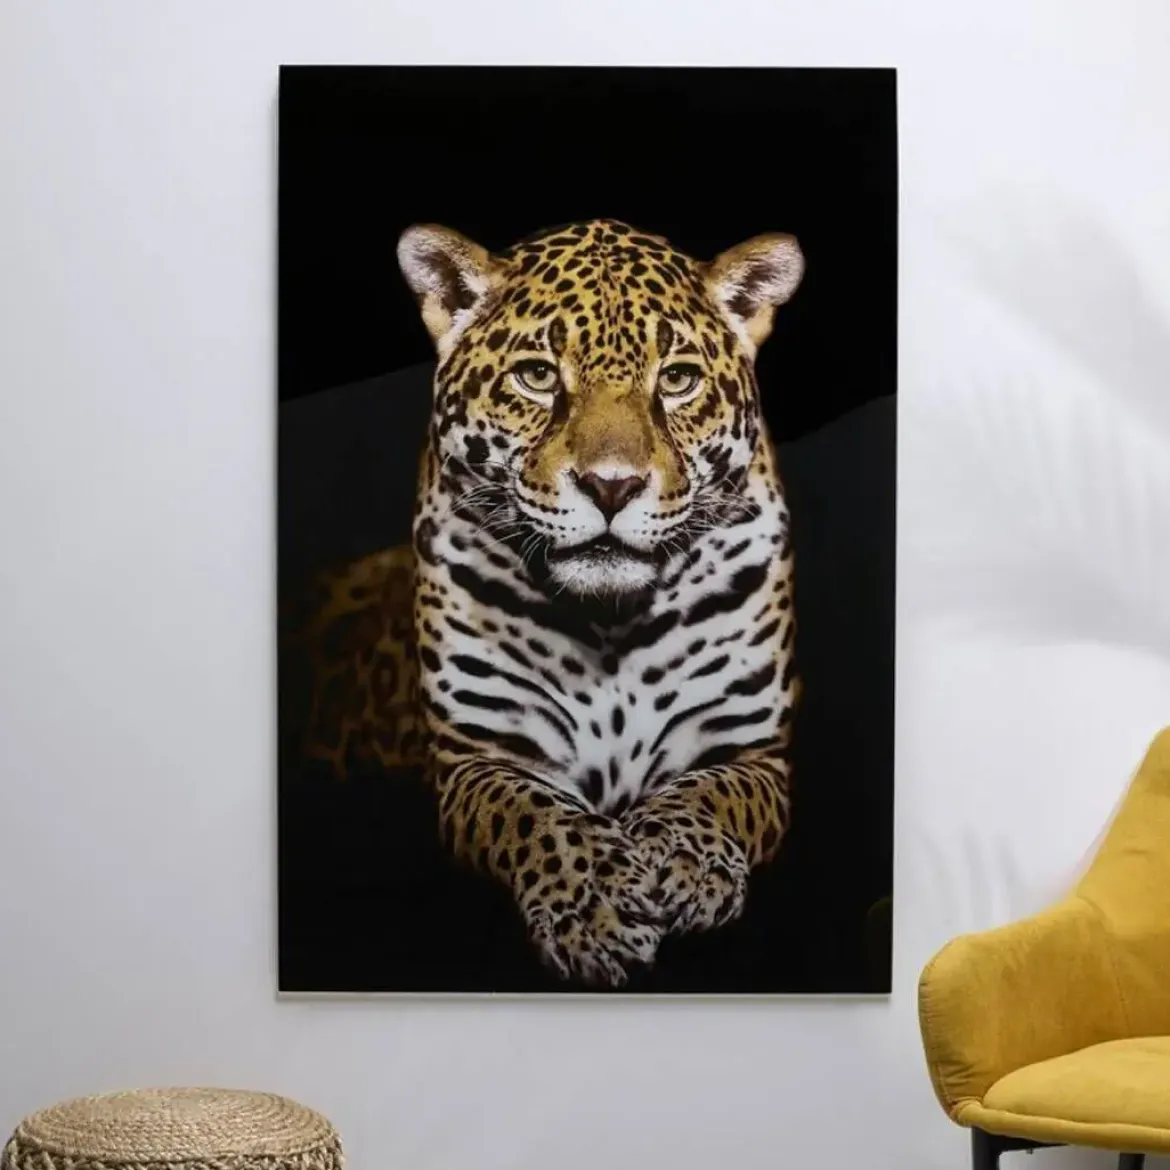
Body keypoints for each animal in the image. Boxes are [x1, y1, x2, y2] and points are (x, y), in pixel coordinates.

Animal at [288, 217, 805, 988]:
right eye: (536, 376)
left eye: (677, 380)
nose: (612, 486)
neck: (610, 623)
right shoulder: (478, 756)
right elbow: (538, 818)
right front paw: (599, 908)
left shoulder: (753, 749)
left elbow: (710, 796)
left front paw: (686, 865)